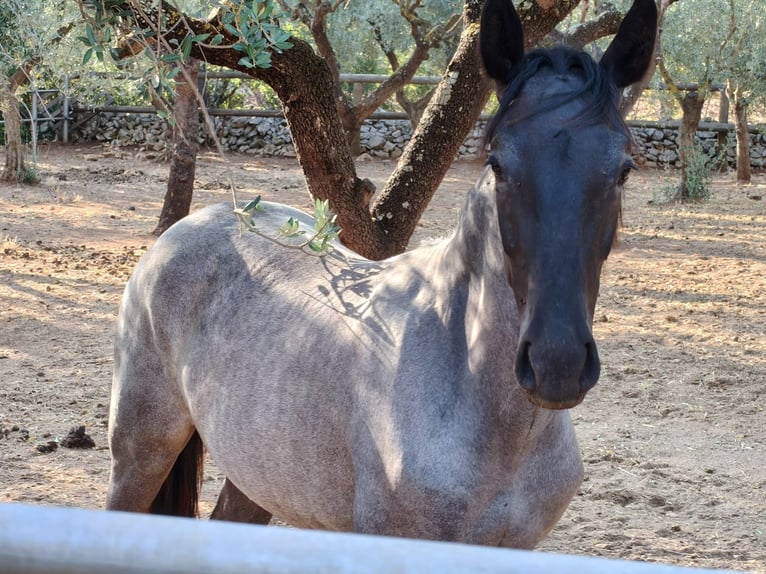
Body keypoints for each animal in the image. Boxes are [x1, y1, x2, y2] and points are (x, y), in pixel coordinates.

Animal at [105, 0, 657, 548]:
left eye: (624, 169)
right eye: (498, 164)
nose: (556, 362)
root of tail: (190, 225)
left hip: (259, 472)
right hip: (141, 453)